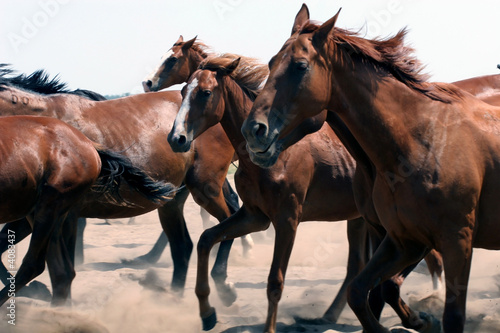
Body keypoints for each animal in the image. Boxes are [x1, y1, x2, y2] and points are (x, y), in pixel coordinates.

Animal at [242, 5, 500, 332]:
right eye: (272, 62)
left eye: (300, 66)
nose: (253, 130)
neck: (423, 142)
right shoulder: (402, 240)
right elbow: (364, 290)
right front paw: (413, 320)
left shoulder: (457, 243)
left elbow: (449, 314)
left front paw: (421, 317)